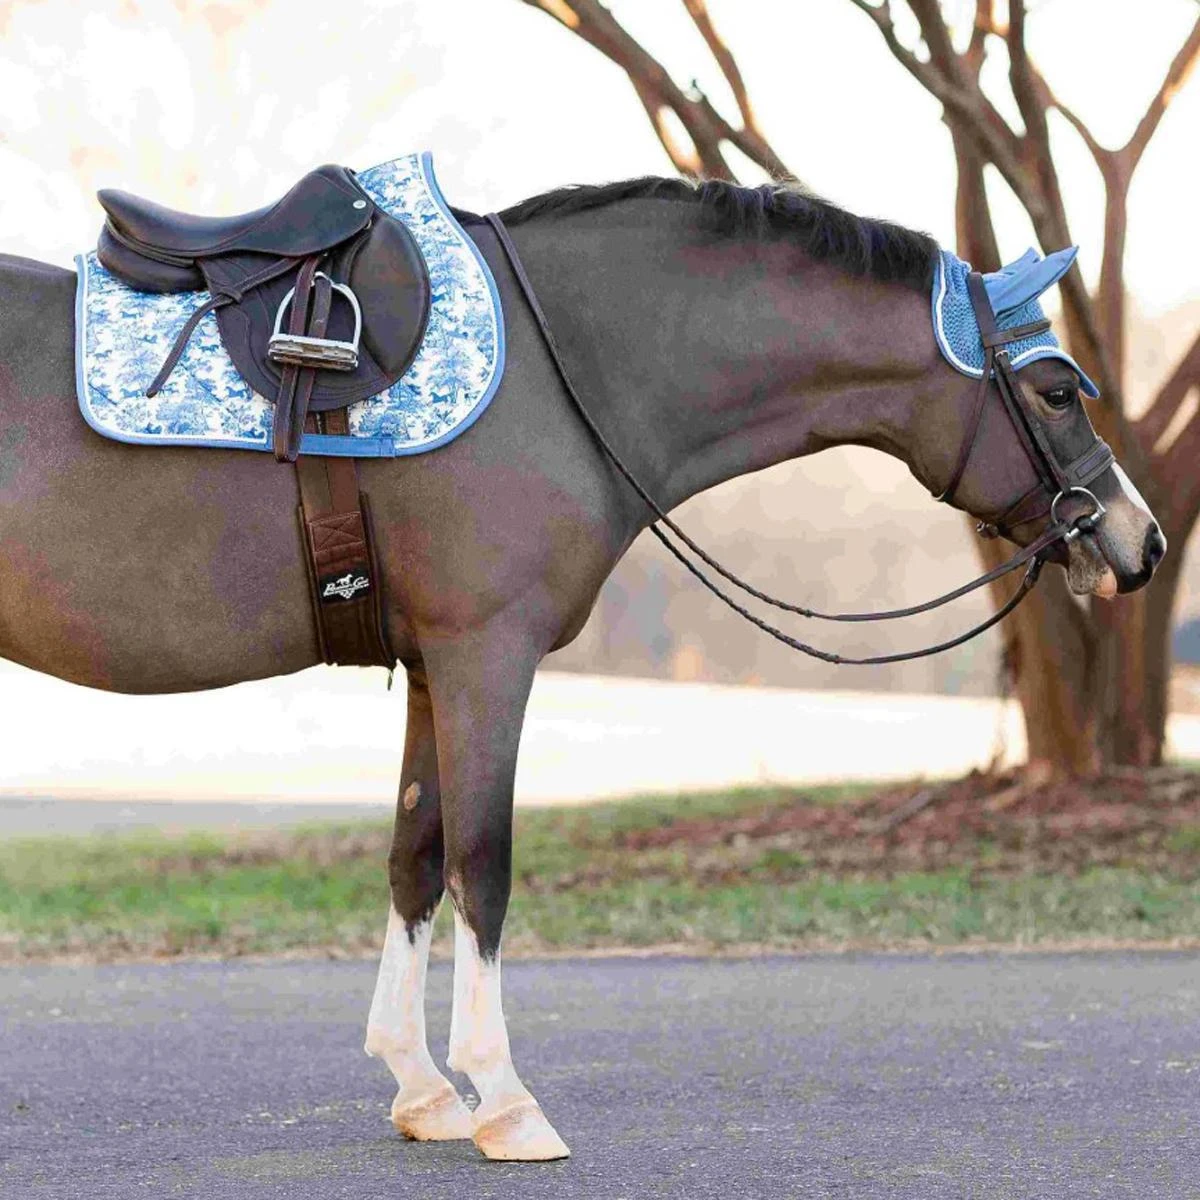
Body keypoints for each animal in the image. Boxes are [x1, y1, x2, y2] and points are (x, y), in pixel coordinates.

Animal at [0, 174, 1164, 1162]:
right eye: (1055, 390)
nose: (1140, 543)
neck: (567, 378)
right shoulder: (488, 653)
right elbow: (483, 866)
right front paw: (504, 1099)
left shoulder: (434, 664)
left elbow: (415, 859)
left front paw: (422, 1087)